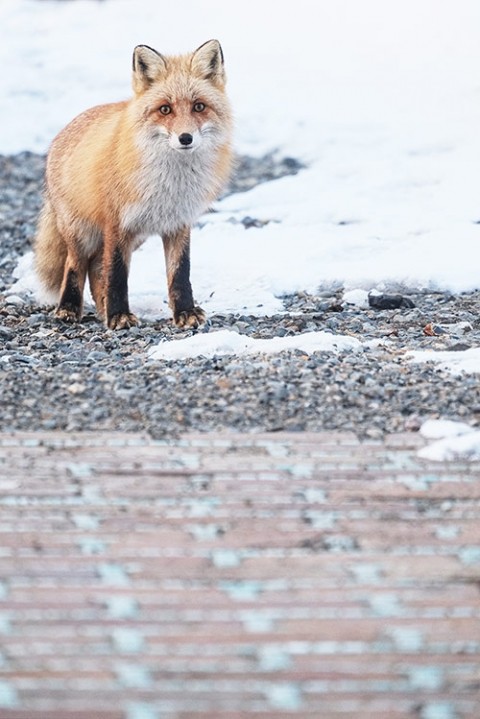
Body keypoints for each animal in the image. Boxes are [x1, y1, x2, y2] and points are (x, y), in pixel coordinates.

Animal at [34, 40, 233, 330]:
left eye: (199, 106)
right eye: (165, 109)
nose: (185, 138)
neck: (171, 184)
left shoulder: (178, 223)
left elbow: (180, 274)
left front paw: (185, 312)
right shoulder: (118, 223)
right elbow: (117, 275)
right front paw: (119, 316)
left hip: (135, 237)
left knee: (96, 268)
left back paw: (102, 309)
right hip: (82, 233)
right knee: (76, 265)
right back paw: (69, 309)